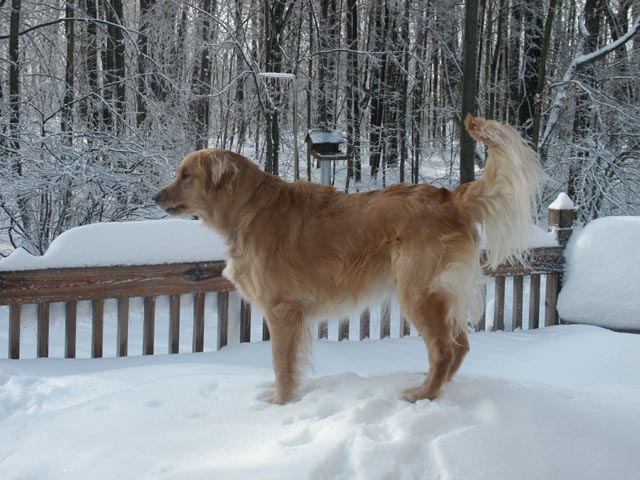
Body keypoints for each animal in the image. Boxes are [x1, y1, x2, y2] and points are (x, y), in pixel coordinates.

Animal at [152, 116, 544, 404]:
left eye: (185, 175)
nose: (156, 197)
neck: (248, 207)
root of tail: (452, 197)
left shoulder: (282, 310)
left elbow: (280, 363)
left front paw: (279, 402)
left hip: (417, 292)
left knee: (445, 350)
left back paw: (422, 394)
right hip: (440, 294)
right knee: (460, 346)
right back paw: (435, 387)